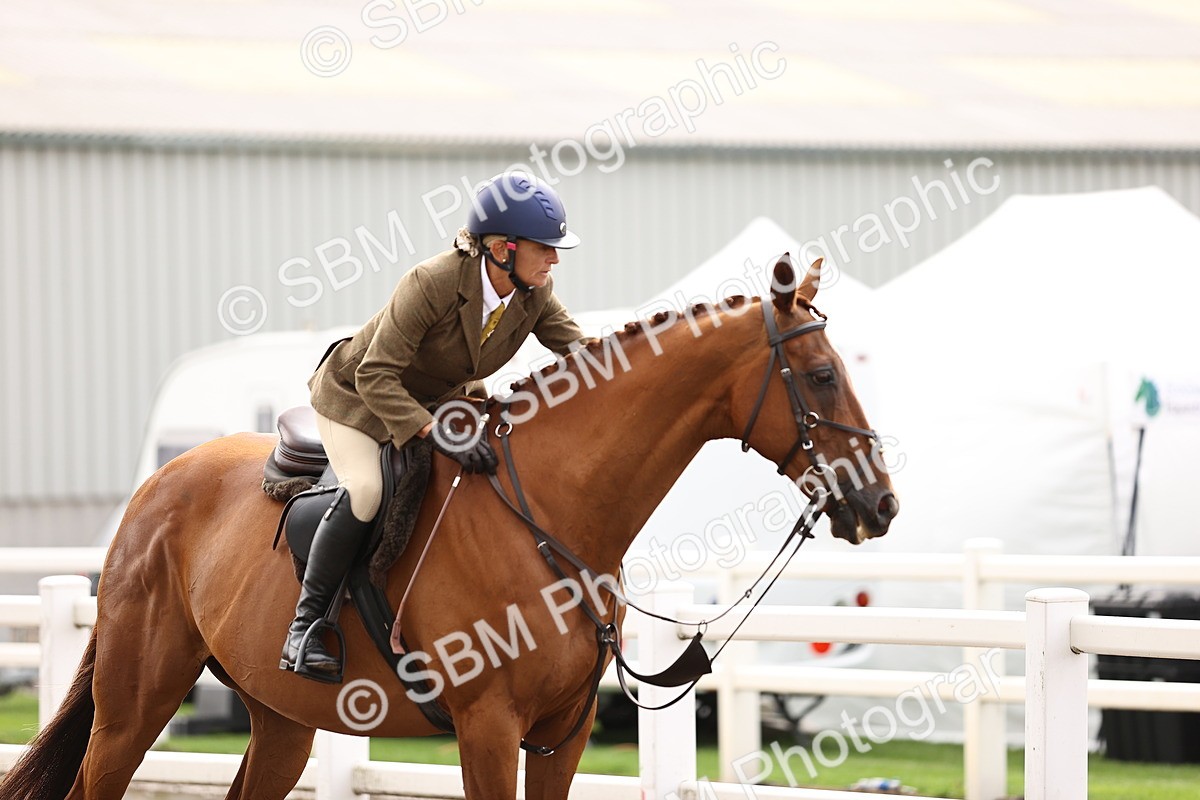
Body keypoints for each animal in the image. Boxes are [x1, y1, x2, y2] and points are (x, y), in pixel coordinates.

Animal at [0, 254, 898, 800]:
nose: (881, 504)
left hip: (280, 716)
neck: (556, 513)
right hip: (136, 699)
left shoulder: (561, 735)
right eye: (823, 374)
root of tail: (155, 488)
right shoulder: (488, 729)